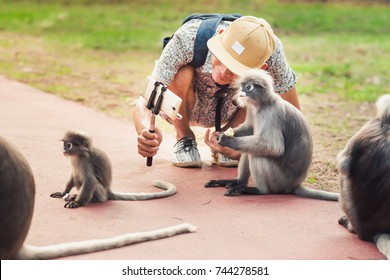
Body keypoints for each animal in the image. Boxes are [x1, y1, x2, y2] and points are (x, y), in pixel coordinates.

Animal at [0, 135, 195, 260]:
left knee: (89, 182)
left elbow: (90, 180)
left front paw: (77, 203)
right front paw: (64, 193)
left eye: (68, 145)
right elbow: (72, 175)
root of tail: (108, 191)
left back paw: (82, 199)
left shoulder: (83, 161)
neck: (80, 154)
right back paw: (71, 195)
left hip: (99, 192)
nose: (63, 149)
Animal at [207, 69, 338, 201]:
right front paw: (218, 134)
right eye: (242, 86)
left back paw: (257, 190)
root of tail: (294, 185)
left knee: (256, 155)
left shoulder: (270, 114)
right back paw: (237, 183)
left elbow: (274, 147)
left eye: (249, 87)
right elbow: (250, 129)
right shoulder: (252, 108)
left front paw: (226, 139)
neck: (263, 104)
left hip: (279, 180)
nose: (242, 92)